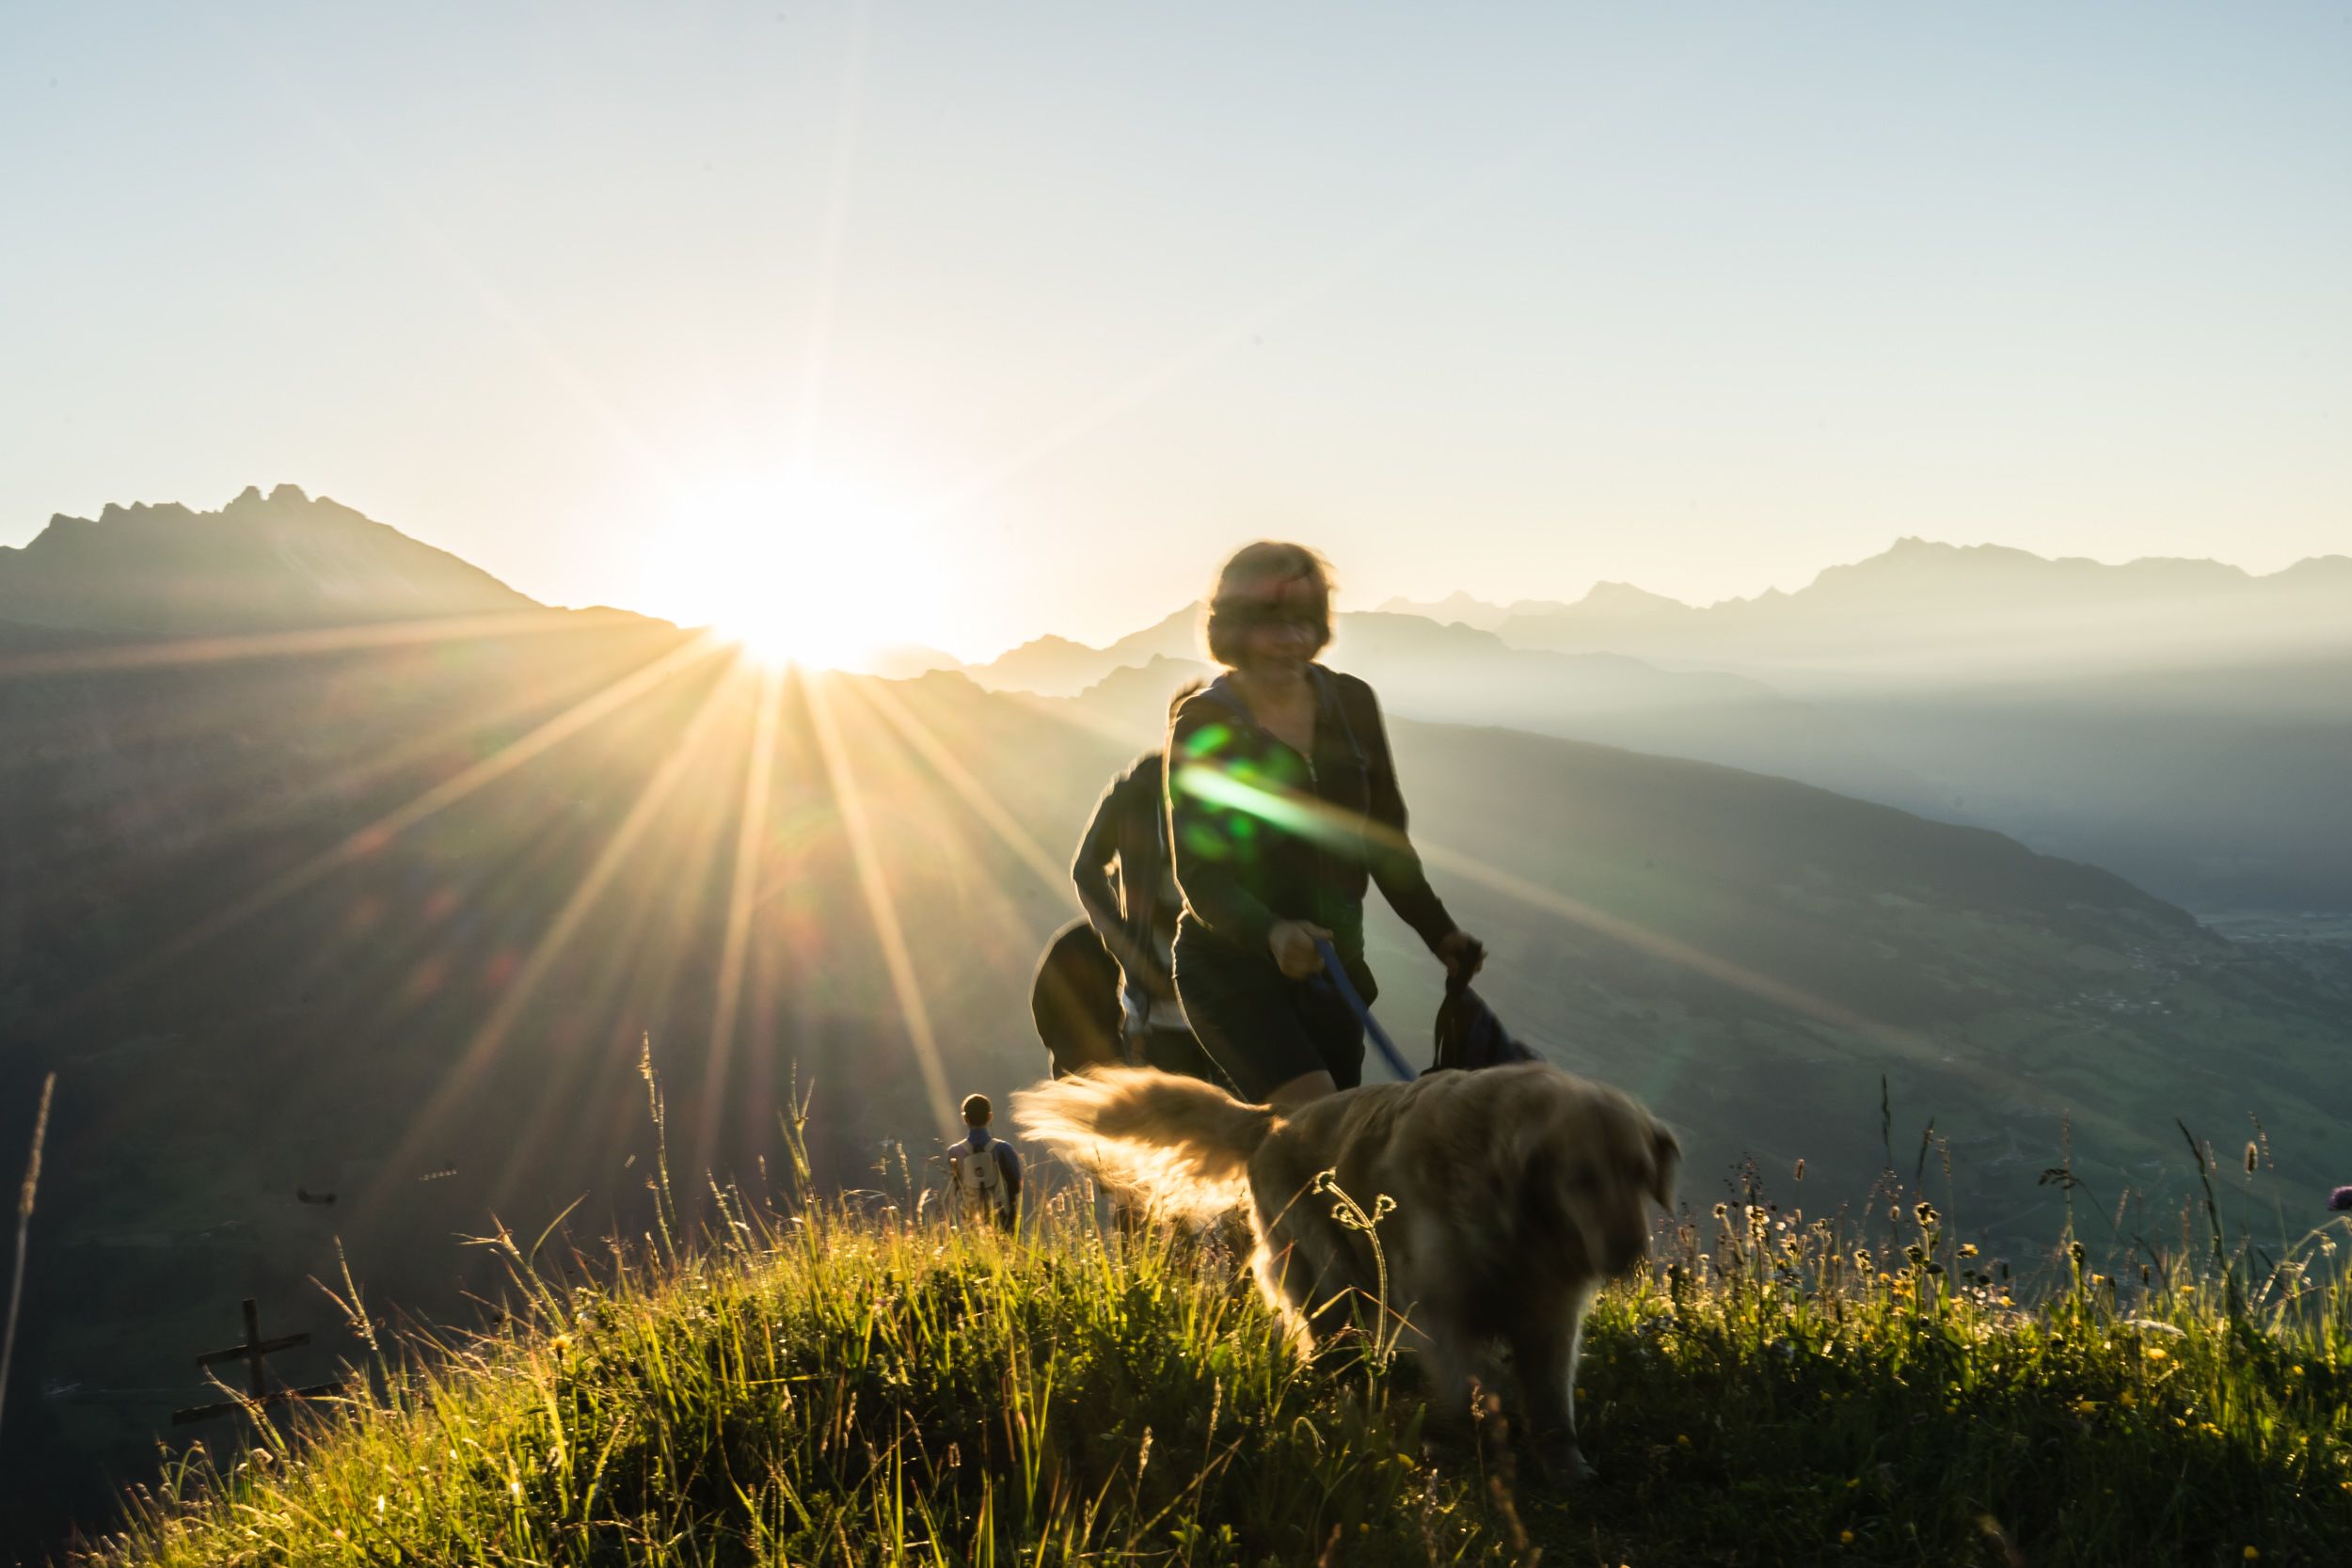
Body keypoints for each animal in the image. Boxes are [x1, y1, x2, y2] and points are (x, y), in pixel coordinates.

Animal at [1011, 1062, 1675, 1476]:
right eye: (1582, 1177)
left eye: (1641, 1175)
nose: (1630, 1254)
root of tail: (1273, 1119)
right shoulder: (1440, 1309)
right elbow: (1479, 1379)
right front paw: (1496, 1424)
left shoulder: (1551, 1321)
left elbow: (1552, 1403)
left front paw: (1567, 1466)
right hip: (1327, 1274)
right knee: (1325, 1341)